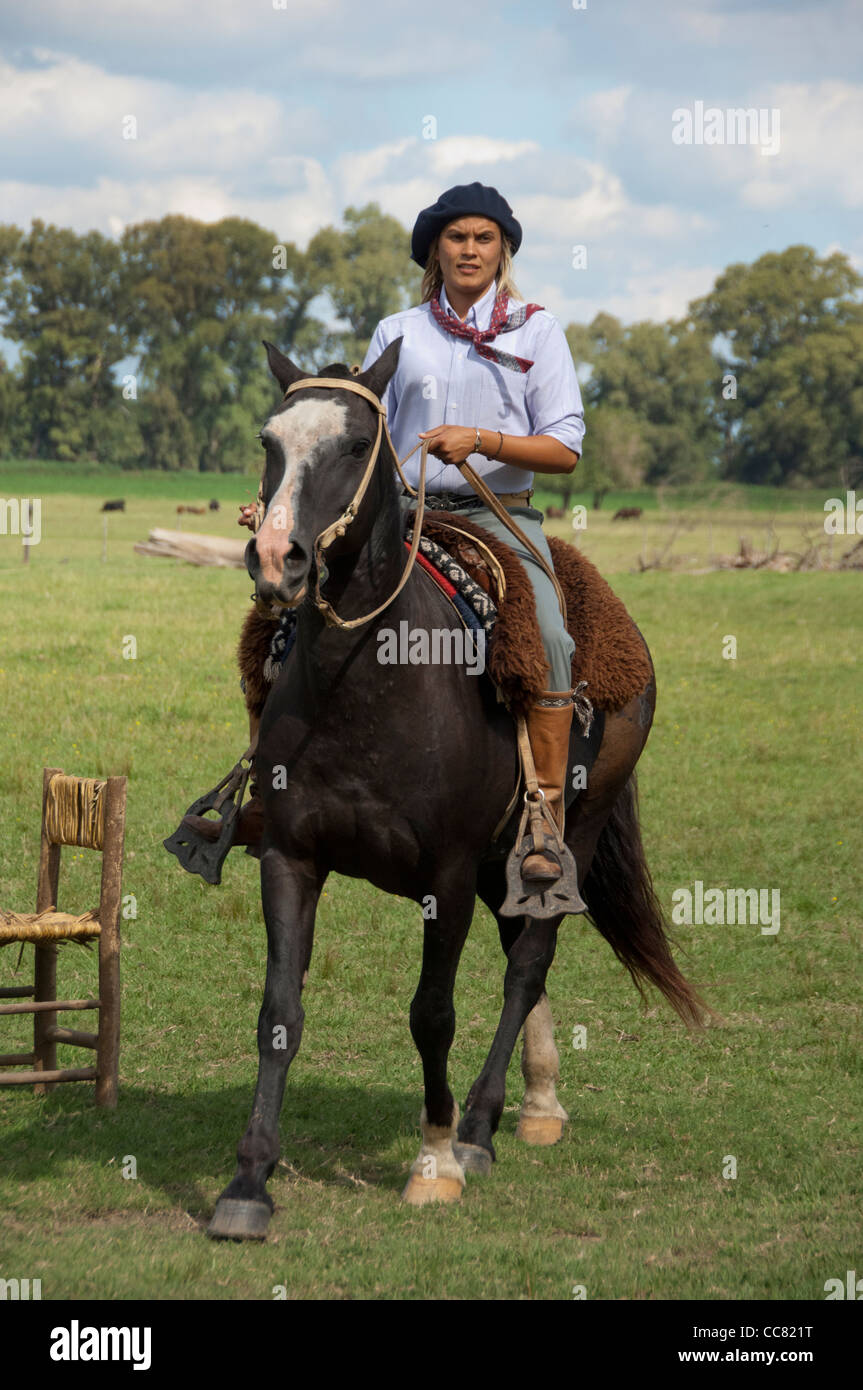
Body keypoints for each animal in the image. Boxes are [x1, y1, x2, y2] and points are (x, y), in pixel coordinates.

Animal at [205, 341, 703, 1245]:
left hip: (571, 833)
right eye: (269, 438)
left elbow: (431, 1013)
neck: (366, 677)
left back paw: (477, 1126)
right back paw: (536, 1102)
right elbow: (278, 1011)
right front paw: (249, 1182)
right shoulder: (290, 857)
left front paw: (434, 1161)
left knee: (526, 967)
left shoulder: (445, 876)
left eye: (357, 441)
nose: (277, 558)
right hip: (505, 861)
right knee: (519, 951)